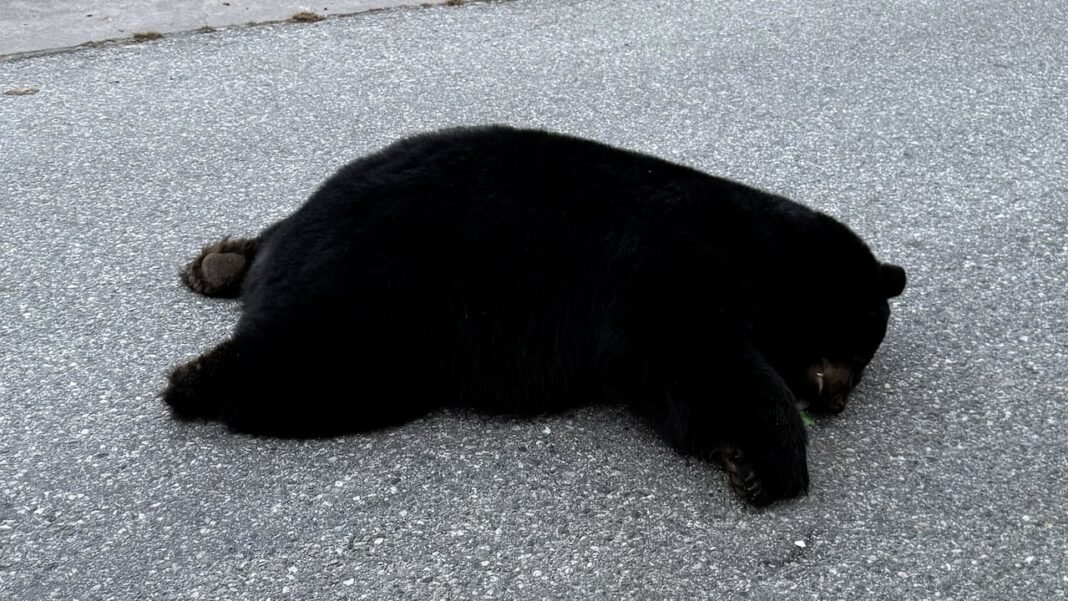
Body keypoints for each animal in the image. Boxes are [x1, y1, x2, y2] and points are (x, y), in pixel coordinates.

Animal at [163, 125, 906, 506]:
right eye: (858, 342)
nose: (834, 398)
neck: (762, 249)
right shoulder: (668, 266)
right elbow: (696, 355)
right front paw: (773, 459)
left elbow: (669, 384)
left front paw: (738, 457)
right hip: (386, 303)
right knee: (313, 368)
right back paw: (197, 376)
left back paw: (218, 263)